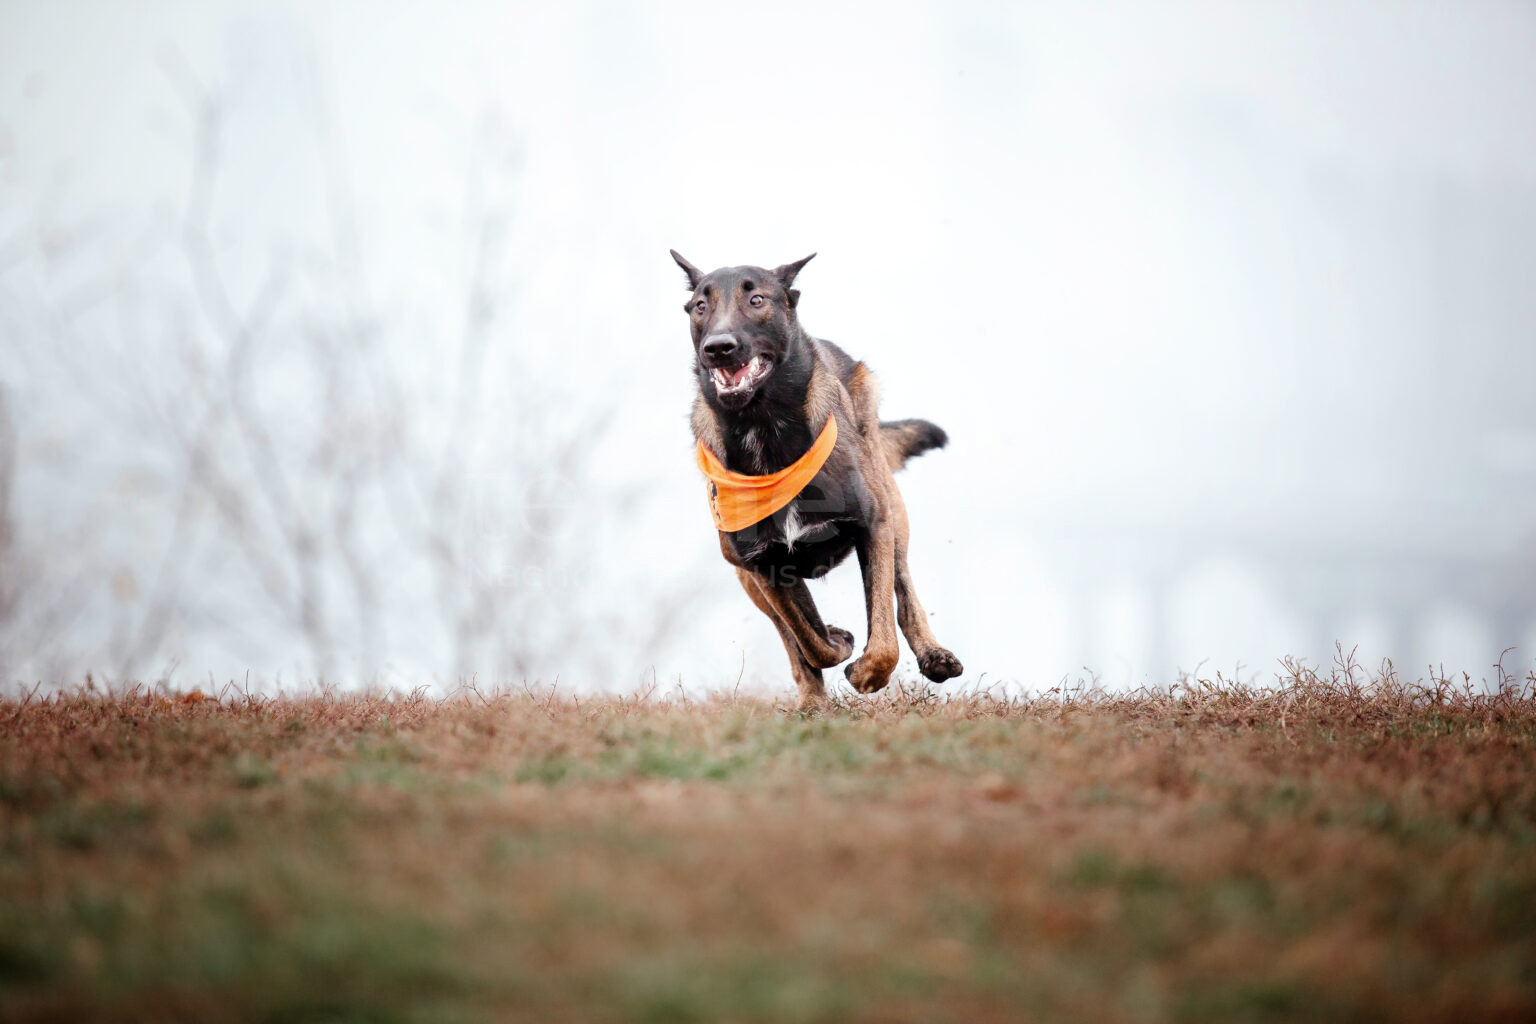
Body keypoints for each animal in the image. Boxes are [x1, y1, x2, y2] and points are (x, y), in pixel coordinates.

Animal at [672, 251, 958, 709]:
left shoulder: (873, 526)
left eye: (756, 299)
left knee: (903, 592)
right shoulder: (762, 564)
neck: (764, 428)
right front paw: (836, 643)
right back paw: (812, 701)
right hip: (744, 575)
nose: (718, 347)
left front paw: (866, 674)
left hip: (892, 508)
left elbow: (884, 639)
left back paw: (933, 654)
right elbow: (808, 639)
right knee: (792, 640)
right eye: (701, 306)